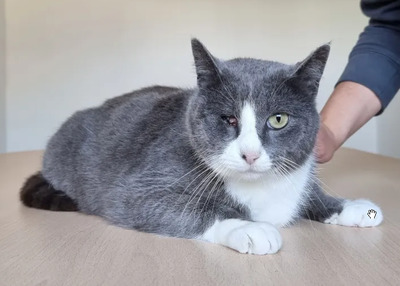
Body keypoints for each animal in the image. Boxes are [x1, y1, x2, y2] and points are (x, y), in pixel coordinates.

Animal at [20, 38, 382, 255]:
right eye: (228, 119)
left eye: (278, 119)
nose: (250, 154)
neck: (261, 190)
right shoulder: (135, 190)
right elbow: (191, 209)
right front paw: (250, 228)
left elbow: (310, 194)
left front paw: (350, 207)